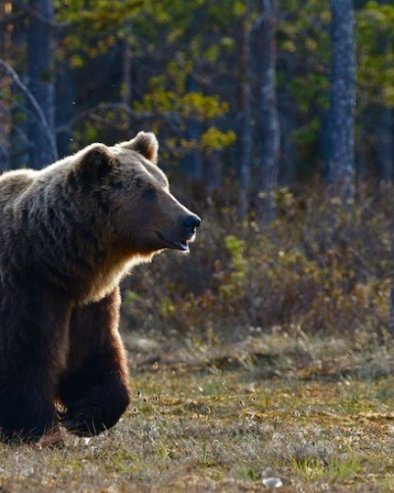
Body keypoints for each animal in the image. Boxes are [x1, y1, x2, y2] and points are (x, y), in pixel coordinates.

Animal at [0, 132, 200, 442]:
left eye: (164, 184)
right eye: (148, 191)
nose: (191, 221)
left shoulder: (89, 303)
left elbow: (94, 354)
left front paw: (84, 416)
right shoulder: (28, 287)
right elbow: (26, 356)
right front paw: (36, 427)